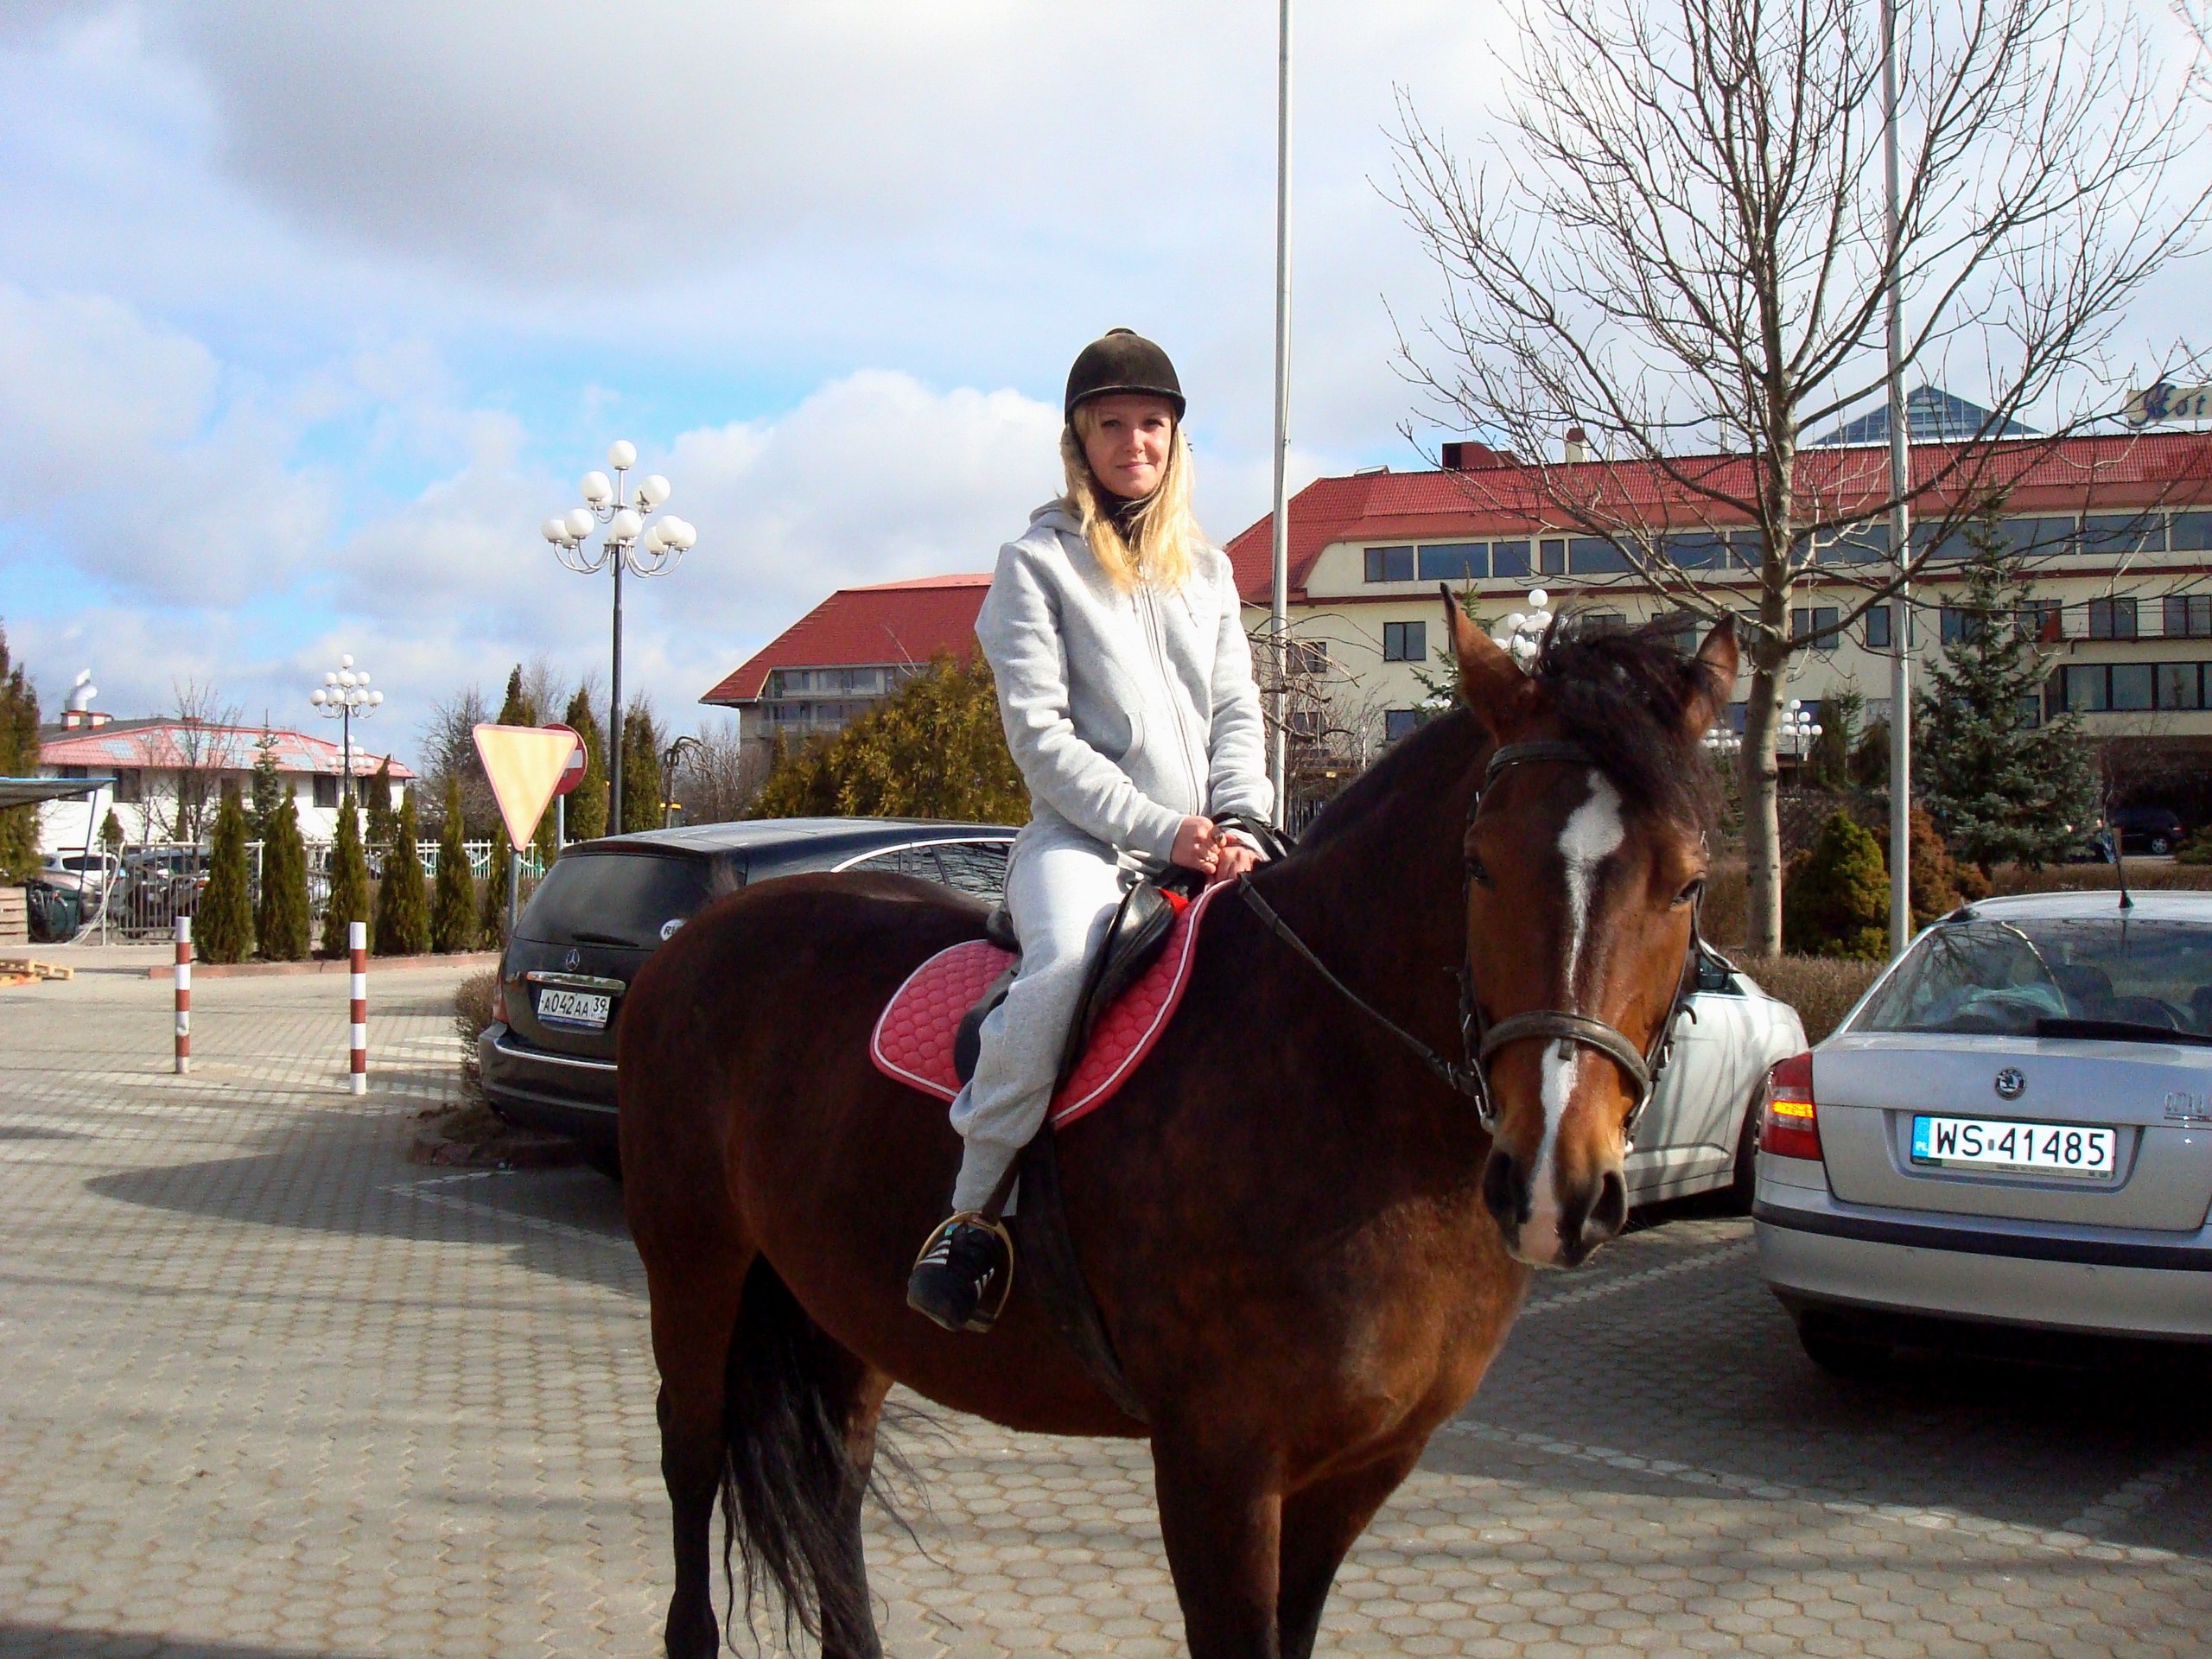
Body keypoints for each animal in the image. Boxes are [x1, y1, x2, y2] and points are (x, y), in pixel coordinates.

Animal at [620, 598, 1738, 1659]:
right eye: (1479, 864)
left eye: (1687, 880)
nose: (1553, 1184)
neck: (1341, 1079)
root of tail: (693, 937)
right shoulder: (1220, 1465)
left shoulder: (1362, 1470)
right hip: (695, 1262)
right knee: (692, 1453)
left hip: (846, 1304)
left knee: (836, 1482)